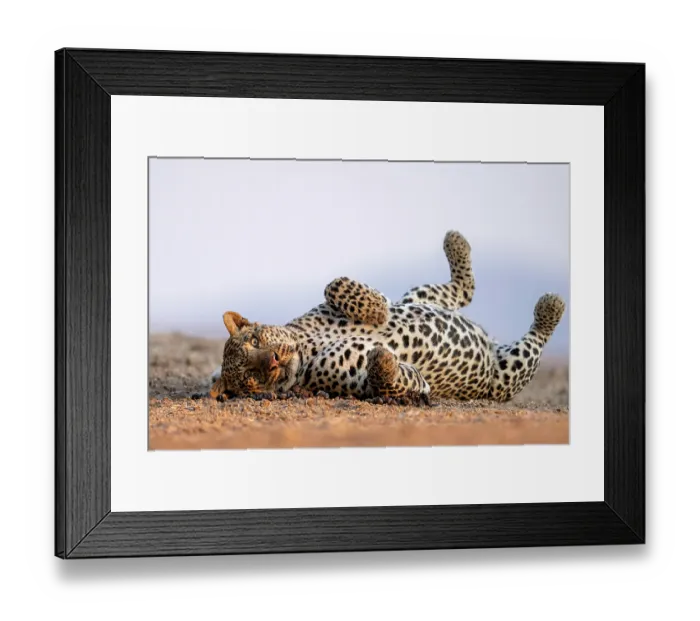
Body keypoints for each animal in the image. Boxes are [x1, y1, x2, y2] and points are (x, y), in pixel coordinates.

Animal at [209, 231, 565, 403]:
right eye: (250, 378)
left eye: (256, 339)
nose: (271, 360)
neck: (308, 346)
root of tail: (492, 345)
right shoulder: (378, 383)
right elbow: (389, 377)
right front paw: (385, 358)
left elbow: (335, 284)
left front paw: (376, 309)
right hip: (508, 374)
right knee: (534, 338)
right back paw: (552, 306)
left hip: (420, 297)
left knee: (459, 291)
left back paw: (456, 243)